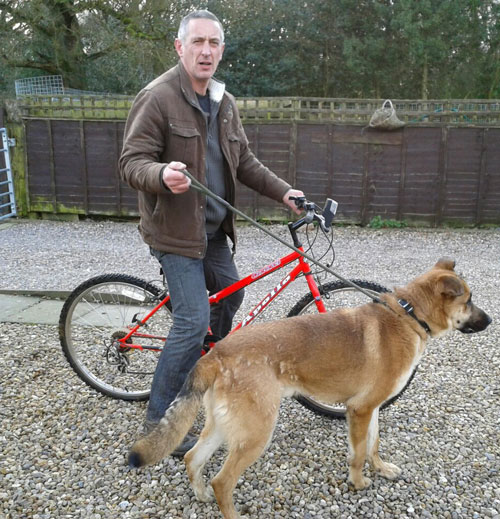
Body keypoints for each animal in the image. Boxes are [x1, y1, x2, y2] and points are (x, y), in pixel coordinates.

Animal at [130, 260, 492, 519]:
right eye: (469, 300)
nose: (490, 321)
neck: (409, 314)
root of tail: (215, 353)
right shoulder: (360, 410)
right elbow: (358, 453)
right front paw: (358, 482)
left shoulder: (371, 408)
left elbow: (373, 445)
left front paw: (381, 468)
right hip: (256, 433)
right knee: (222, 481)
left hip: (225, 425)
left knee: (194, 459)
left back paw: (201, 494)